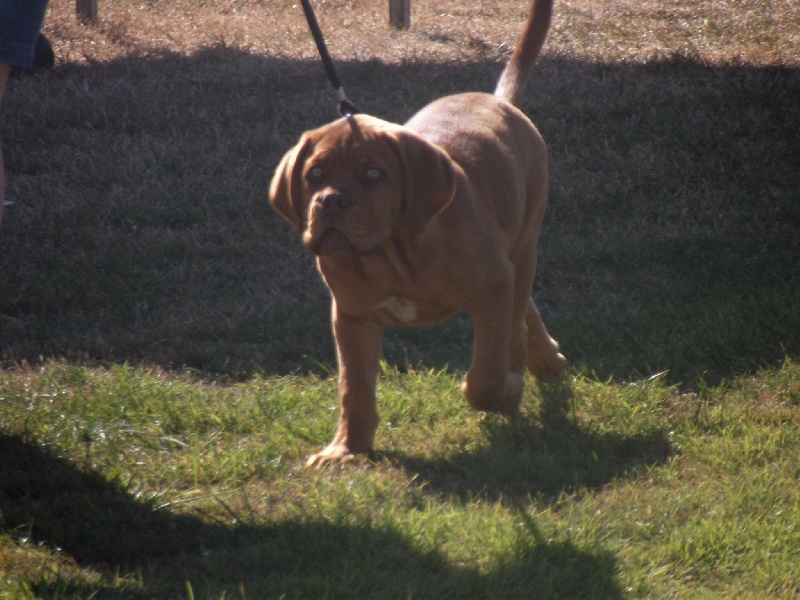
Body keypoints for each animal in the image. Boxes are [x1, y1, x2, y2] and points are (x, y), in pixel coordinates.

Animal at [268, 0, 564, 466]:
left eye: (374, 174)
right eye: (314, 174)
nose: (330, 201)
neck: (392, 254)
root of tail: (496, 100)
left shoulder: (492, 289)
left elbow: (485, 375)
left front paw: (505, 390)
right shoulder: (351, 316)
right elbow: (354, 389)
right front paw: (346, 448)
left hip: (523, 243)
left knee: (519, 309)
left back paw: (530, 365)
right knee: (525, 305)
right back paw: (544, 359)